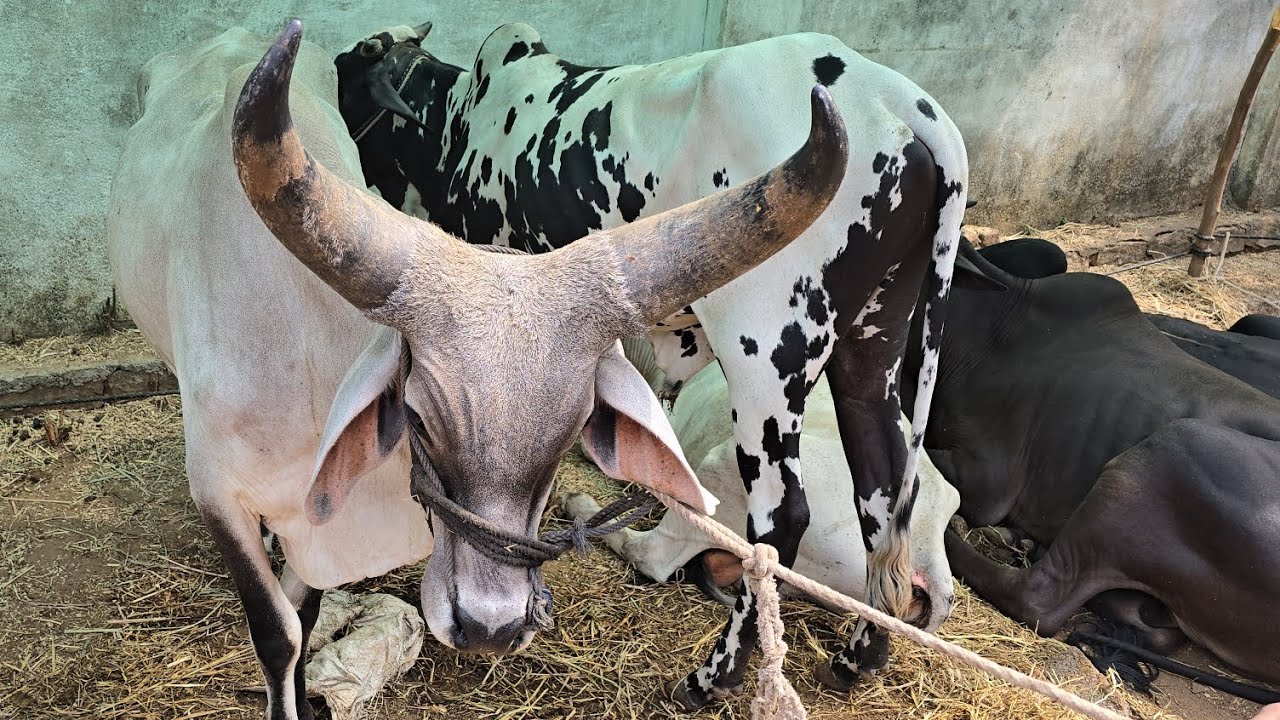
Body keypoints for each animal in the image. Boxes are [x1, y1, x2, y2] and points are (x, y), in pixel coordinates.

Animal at [106, 20, 848, 720]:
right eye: (418, 416)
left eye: (576, 427)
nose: (490, 625)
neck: (303, 354)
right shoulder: (217, 494)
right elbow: (278, 633)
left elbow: (307, 612)